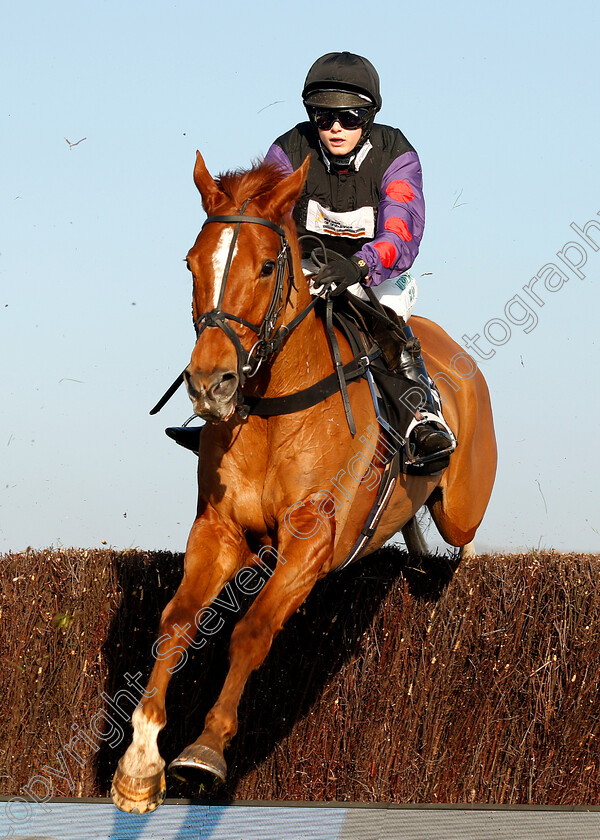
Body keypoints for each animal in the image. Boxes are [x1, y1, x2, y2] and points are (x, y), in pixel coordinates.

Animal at [111, 154, 496, 812]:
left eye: (267, 265)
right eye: (192, 262)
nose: (210, 383)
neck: (273, 409)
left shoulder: (313, 542)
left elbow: (252, 630)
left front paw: (204, 750)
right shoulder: (220, 531)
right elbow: (175, 625)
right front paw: (139, 762)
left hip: (464, 500)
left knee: (462, 533)